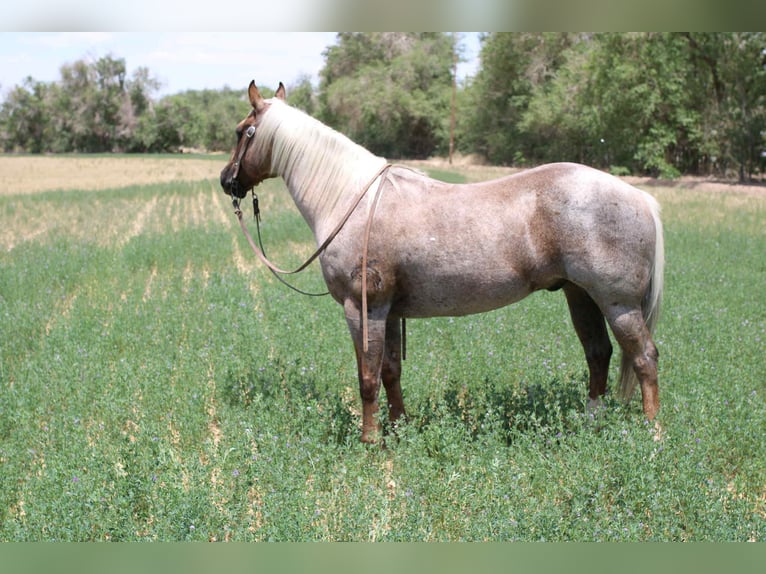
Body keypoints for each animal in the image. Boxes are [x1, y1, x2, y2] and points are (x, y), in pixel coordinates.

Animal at [220, 81, 665, 444]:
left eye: (242, 131)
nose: (227, 181)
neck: (352, 199)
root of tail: (640, 197)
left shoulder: (363, 308)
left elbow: (367, 377)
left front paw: (369, 442)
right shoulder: (389, 311)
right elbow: (390, 372)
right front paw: (398, 431)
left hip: (618, 304)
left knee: (644, 358)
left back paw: (653, 435)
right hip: (579, 295)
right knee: (598, 354)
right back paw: (592, 423)